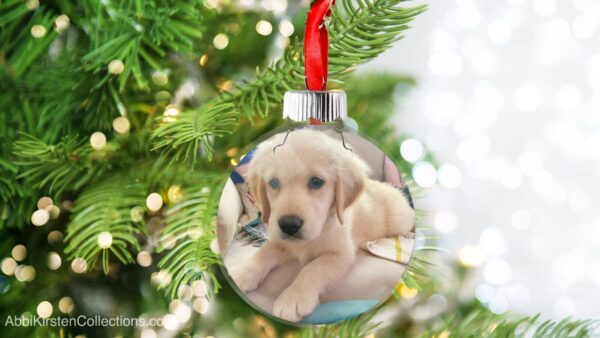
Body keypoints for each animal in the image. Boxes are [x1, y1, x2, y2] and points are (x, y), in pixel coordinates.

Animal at [227, 129, 414, 322]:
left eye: (316, 182)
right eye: (273, 182)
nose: (289, 225)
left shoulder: (340, 254)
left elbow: (313, 267)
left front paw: (293, 298)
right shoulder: (281, 241)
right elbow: (263, 253)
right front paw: (242, 273)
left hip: (400, 220)